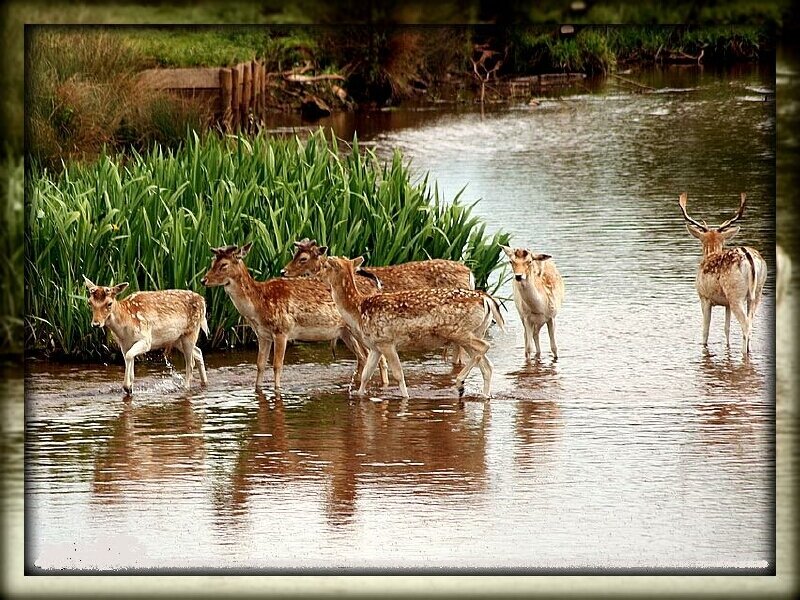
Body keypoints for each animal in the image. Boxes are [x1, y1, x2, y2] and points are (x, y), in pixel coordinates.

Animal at [200, 243, 386, 392]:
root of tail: (375, 287)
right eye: (212, 262)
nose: (203, 280)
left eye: (223, 264)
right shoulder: (262, 335)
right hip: (345, 332)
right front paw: (257, 388)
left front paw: (277, 389)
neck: (259, 305)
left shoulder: (282, 330)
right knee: (363, 356)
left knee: (378, 357)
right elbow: (260, 365)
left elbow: (277, 365)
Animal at [316, 255, 505, 398]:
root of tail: (486, 299)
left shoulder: (387, 341)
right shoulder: (375, 346)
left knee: (485, 347)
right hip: (475, 332)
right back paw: (483, 394)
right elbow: (365, 375)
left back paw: (460, 383)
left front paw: (405, 397)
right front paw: (359, 394)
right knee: (487, 366)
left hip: (461, 332)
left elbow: (398, 375)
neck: (358, 310)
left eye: (325, 265)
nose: (316, 276)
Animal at [678, 192, 767, 356]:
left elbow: (705, 330)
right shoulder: (726, 304)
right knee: (751, 323)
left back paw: (744, 352)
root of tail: (749, 258)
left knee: (746, 324)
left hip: (735, 294)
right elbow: (727, 329)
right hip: (757, 292)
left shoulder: (704, 297)